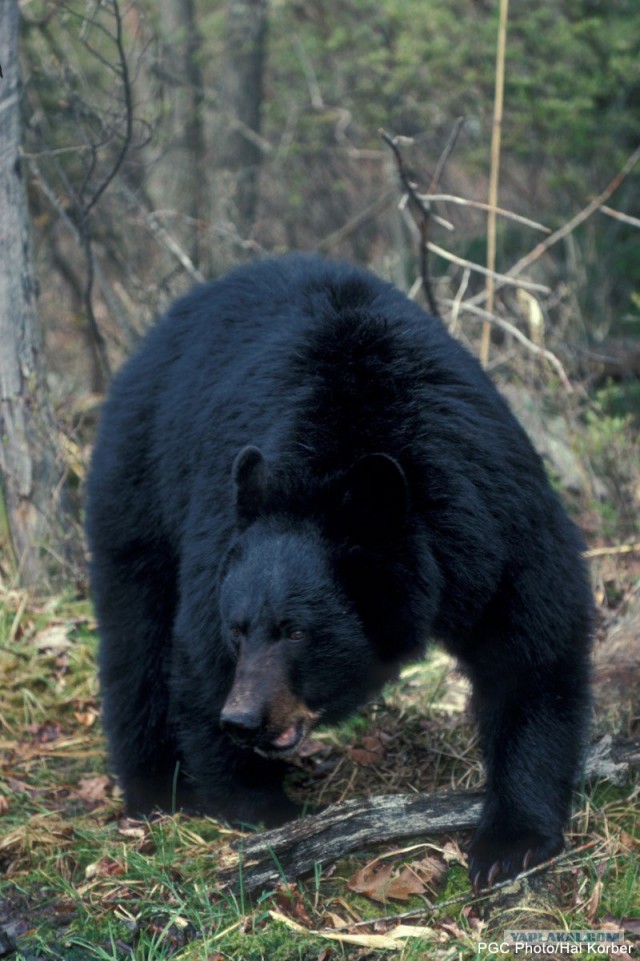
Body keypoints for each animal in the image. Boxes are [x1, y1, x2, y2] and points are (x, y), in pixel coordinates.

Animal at [87, 253, 592, 884]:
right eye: (239, 630)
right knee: (137, 636)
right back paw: (157, 791)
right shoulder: (218, 531)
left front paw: (509, 842)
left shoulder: (495, 515)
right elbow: (199, 657)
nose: (242, 719)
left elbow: (532, 649)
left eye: (298, 631)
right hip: (140, 481)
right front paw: (261, 809)